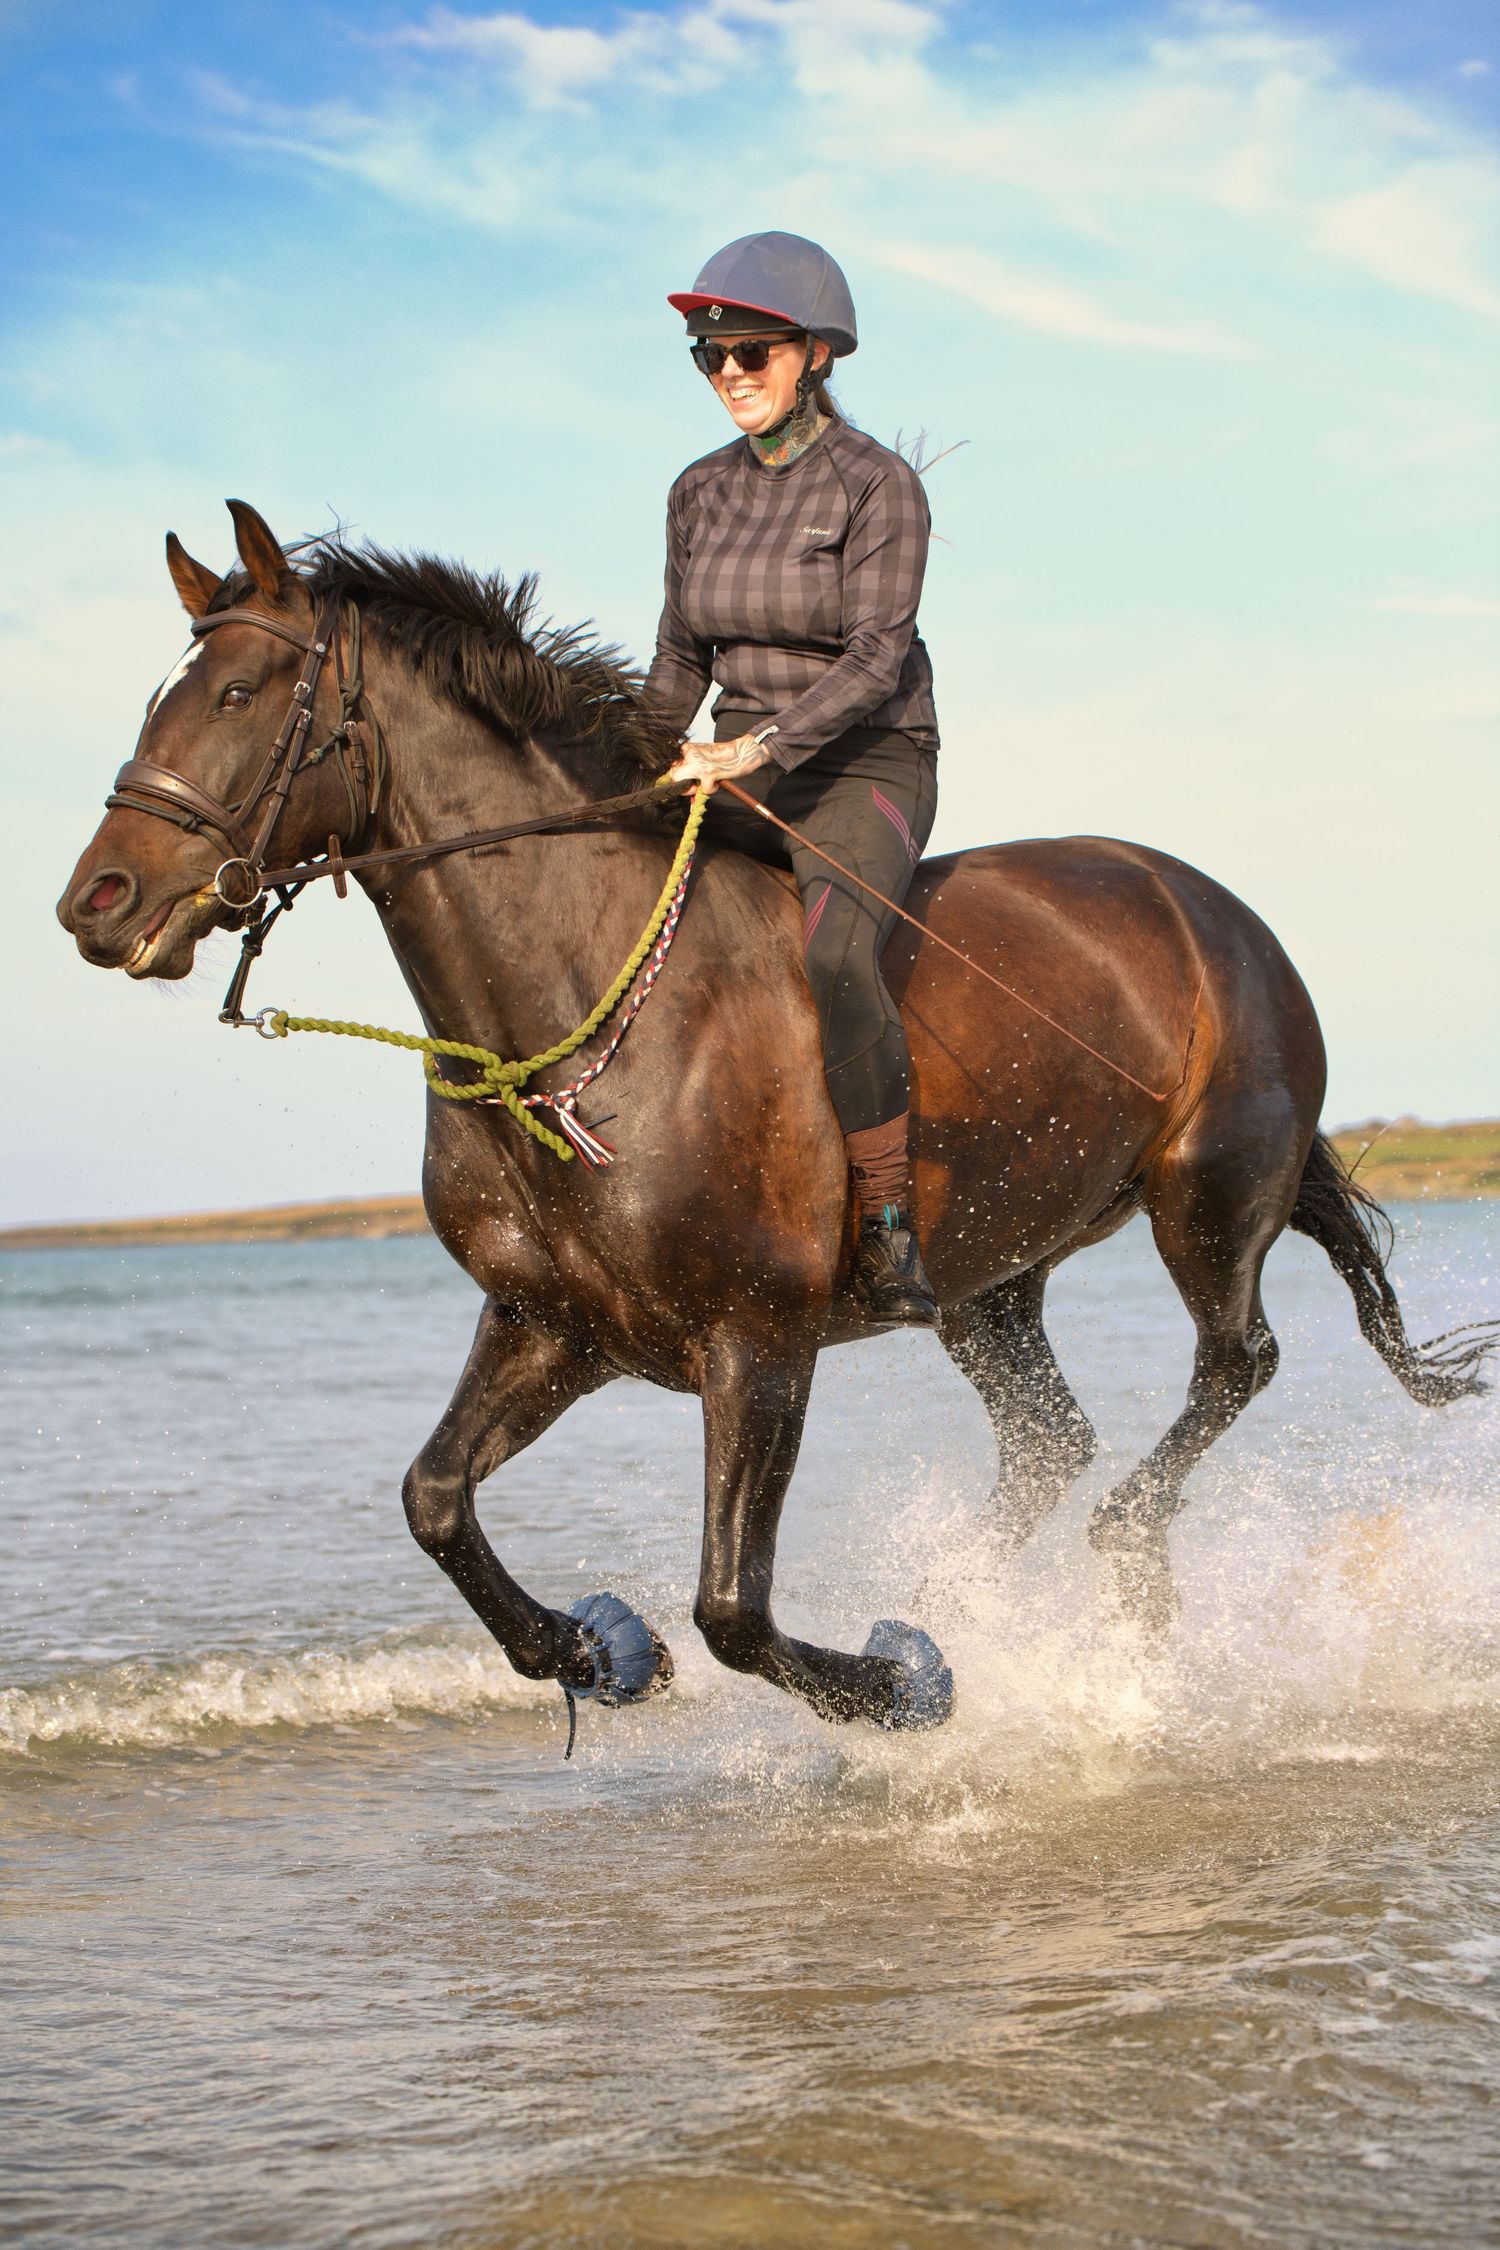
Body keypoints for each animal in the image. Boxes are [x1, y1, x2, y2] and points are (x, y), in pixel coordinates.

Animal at [56, 499, 1498, 1734]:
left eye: (240, 695)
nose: (96, 903)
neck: (576, 1013)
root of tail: (1206, 903)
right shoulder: (554, 1325)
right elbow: (434, 1501)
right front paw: (591, 1652)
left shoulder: (759, 1342)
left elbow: (732, 1612)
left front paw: (903, 1685)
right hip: (993, 1280)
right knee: (1051, 1437)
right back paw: (976, 1590)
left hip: (1210, 1193)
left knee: (1233, 1364)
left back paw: (1116, 1555)